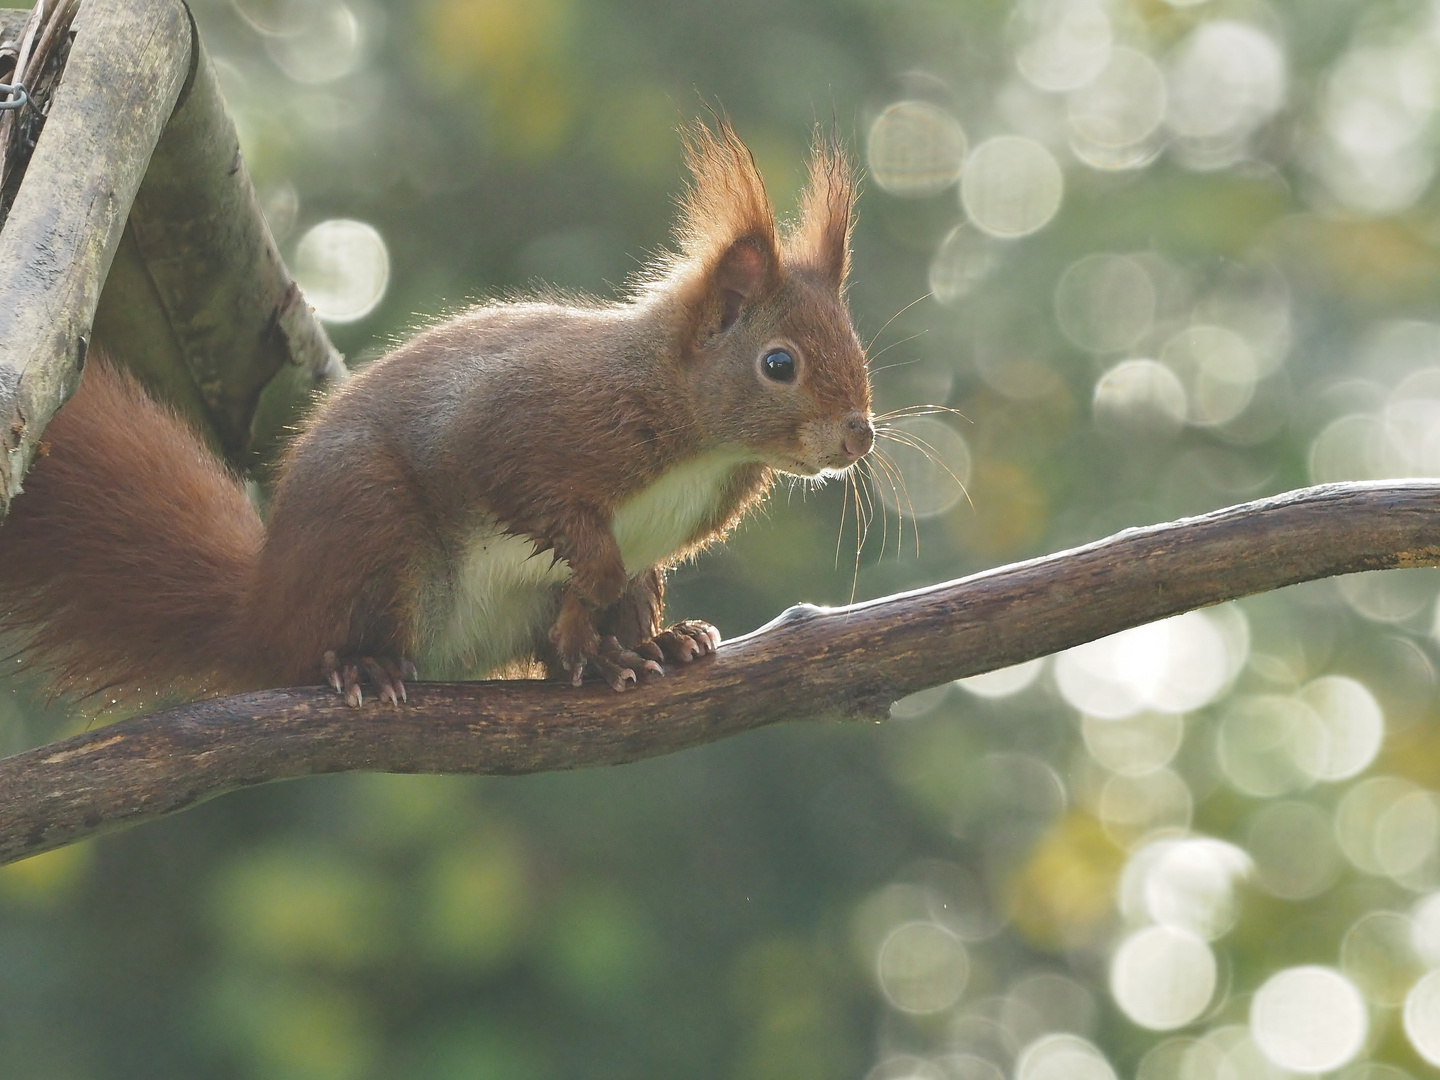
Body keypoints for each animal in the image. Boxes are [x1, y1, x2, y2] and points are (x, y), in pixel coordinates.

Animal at [0, 122, 875, 705]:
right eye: (779, 365)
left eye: (854, 343)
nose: (860, 433)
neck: (702, 441)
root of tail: (265, 607)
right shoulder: (534, 421)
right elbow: (538, 502)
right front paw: (588, 597)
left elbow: (599, 587)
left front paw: (603, 639)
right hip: (371, 526)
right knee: (325, 644)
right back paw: (361, 665)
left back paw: (650, 644)